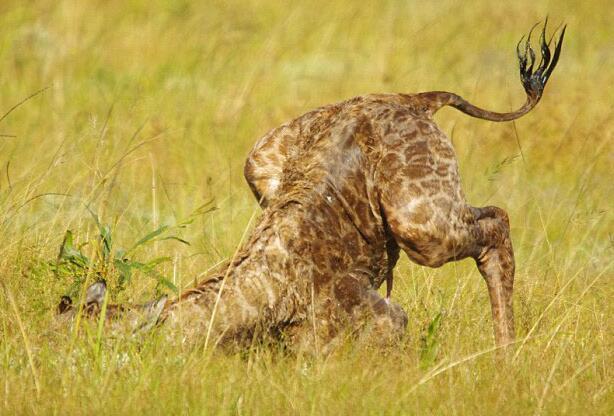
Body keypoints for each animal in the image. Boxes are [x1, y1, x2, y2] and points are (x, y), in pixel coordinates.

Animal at [59, 21, 568, 350]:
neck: (265, 286)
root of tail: (413, 99)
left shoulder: (383, 315)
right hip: (258, 162)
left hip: (419, 224)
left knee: (497, 222)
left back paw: (506, 359)